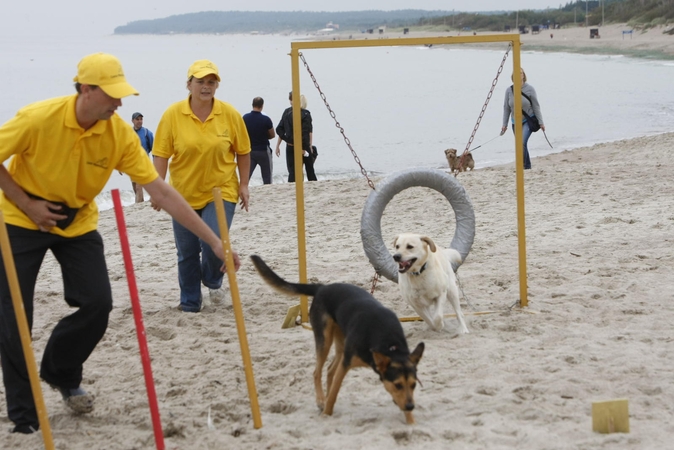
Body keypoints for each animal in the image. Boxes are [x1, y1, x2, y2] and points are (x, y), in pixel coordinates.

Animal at [249, 255, 422, 424]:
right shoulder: (346, 363)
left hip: (340, 343)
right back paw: (321, 400)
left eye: (414, 385)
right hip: (325, 339)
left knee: (330, 370)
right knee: (317, 372)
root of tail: (322, 288)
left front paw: (411, 423)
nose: (411, 406)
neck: (387, 341)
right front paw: (326, 413)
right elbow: (334, 393)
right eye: (398, 385)